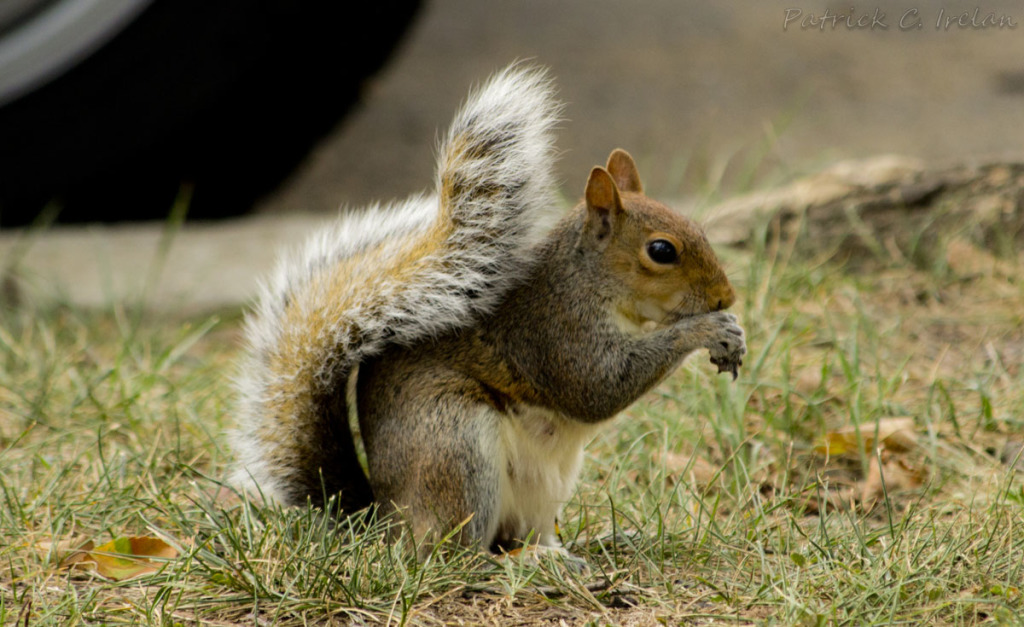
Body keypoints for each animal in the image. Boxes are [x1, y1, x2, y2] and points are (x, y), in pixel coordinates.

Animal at [232, 62, 745, 553]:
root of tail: (384, 524)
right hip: (457, 446)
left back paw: (584, 546)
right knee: (459, 554)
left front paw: (733, 332)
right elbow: (597, 387)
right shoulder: (554, 332)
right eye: (661, 251)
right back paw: (519, 560)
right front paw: (706, 329)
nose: (725, 297)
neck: (588, 282)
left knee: (522, 534)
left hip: (543, 486)